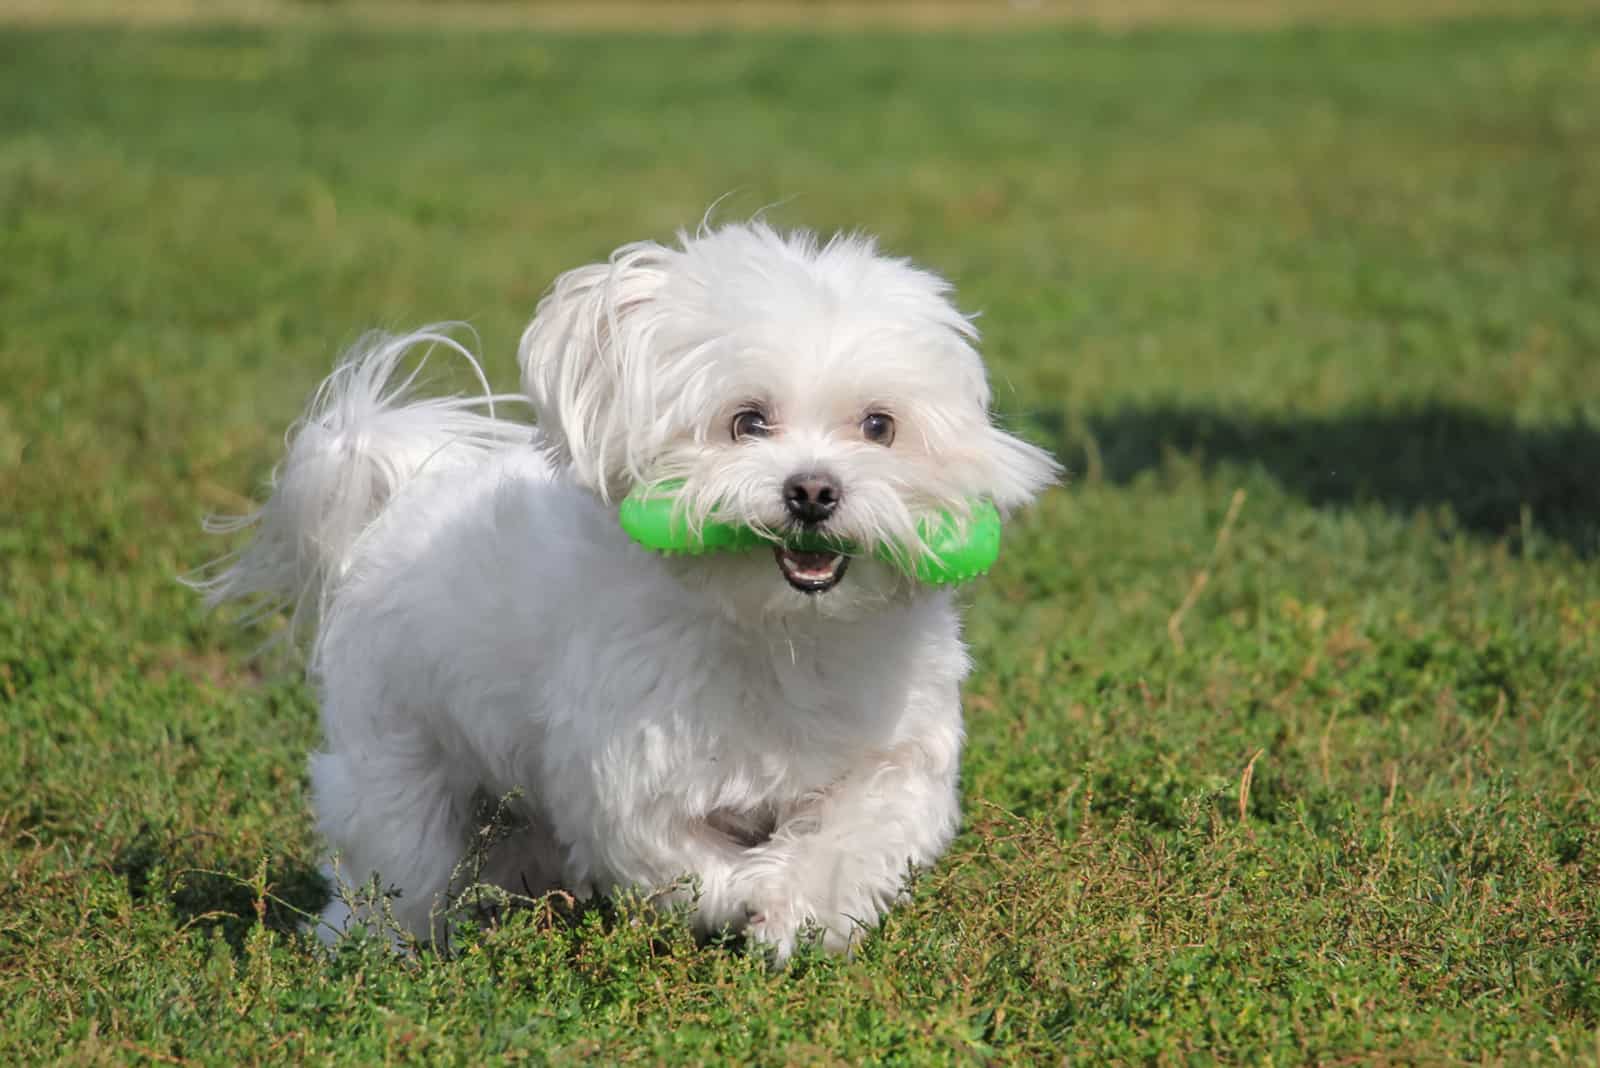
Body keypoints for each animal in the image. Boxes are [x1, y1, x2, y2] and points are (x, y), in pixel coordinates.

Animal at [193, 223, 1056, 959]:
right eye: (747, 421)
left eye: (879, 426)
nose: (813, 491)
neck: (780, 630)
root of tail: (403, 493)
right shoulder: (628, 774)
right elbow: (679, 861)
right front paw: (748, 893)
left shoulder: (895, 755)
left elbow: (858, 836)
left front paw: (797, 911)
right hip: (396, 758)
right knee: (396, 863)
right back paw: (371, 950)